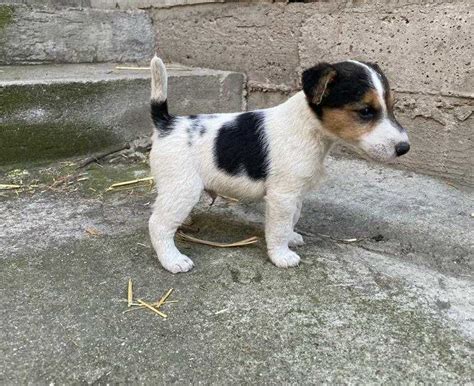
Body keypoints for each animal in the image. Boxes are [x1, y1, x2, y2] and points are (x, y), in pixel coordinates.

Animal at [149, 56, 412, 274]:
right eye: (365, 111)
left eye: (392, 107)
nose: (404, 148)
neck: (309, 127)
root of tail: (166, 122)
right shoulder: (282, 195)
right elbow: (278, 227)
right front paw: (282, 256)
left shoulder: (295, 193)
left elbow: (292, 219)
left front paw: (291, 237)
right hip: (183, 189)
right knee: (158, 225)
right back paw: (173, 260)